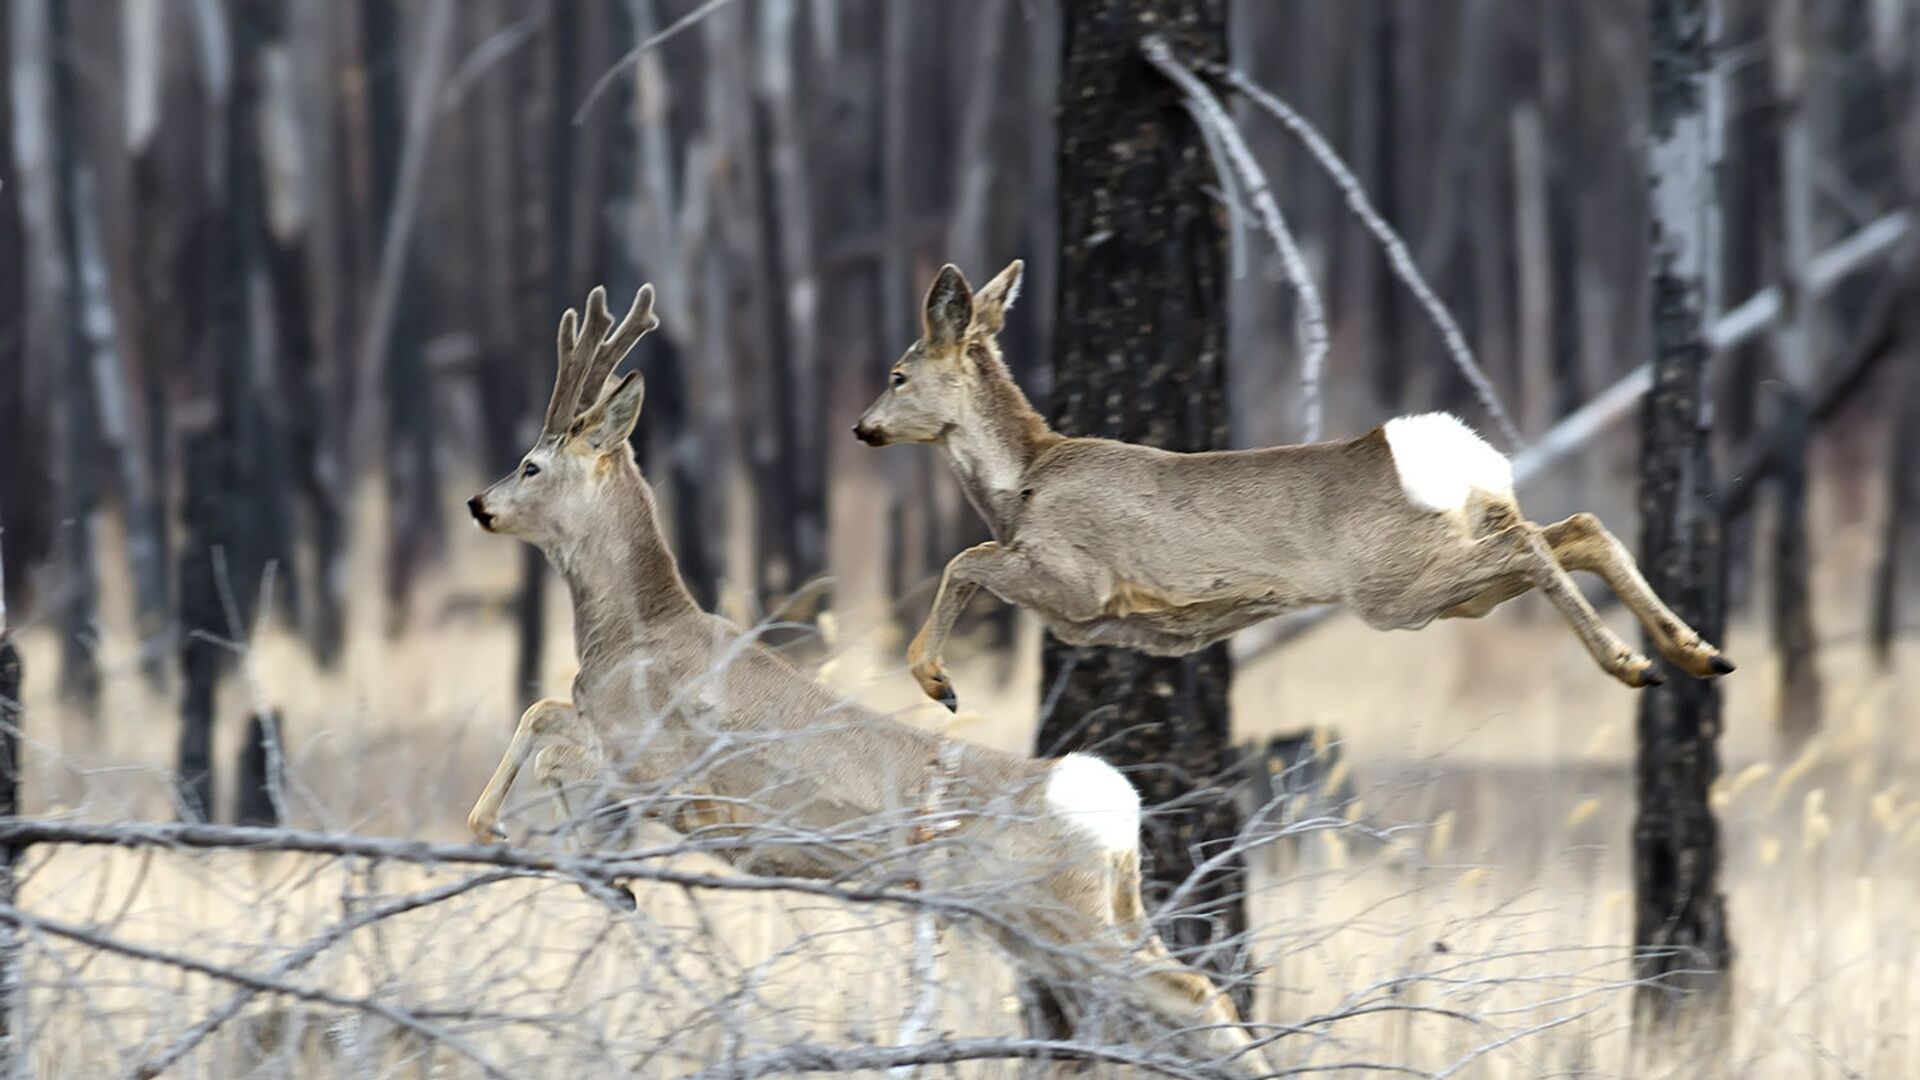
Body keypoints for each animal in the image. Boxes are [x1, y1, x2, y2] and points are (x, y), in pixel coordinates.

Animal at [464, 284, 1274, 1068]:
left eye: (531, 464)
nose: (478, 503)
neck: (634, 633)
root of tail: (1108, 802)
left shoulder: (657, 762)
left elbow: (546, 729)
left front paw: (518, 836)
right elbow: (545, 719)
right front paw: (596, 875)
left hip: (1060, 912)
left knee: (1196, 997)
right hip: (1065, 917)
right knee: (1174, 1001)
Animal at [852, 261, 1728, 707]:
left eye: (897, 375)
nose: (861, 428)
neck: (1021, 483)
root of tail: (1455, 454)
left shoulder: (1076, 581)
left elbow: (963, 559)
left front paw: (935, 680)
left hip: (1394, 586)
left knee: (1534, 545)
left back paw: (1633, 663)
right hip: (1449, 574)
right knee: (1577, 527)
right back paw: (1696, 653)